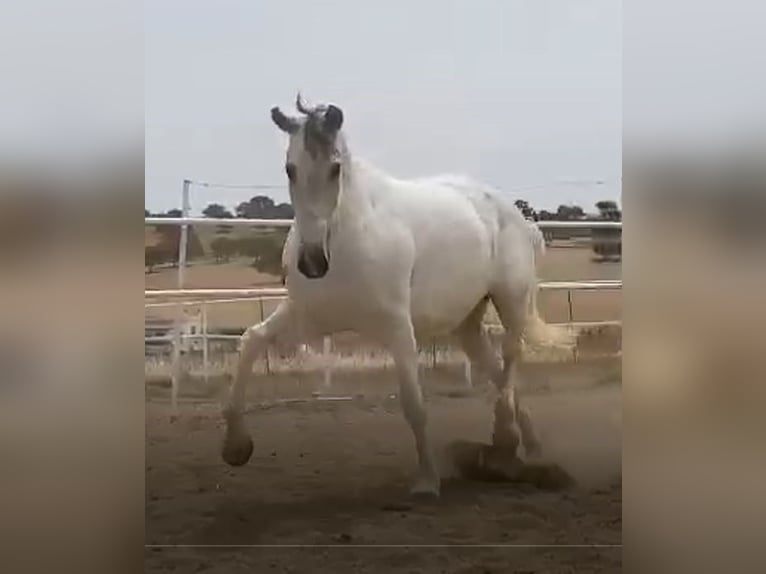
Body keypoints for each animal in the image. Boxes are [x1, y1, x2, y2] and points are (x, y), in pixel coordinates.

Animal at [220, 94, 568, 496]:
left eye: (335, 169)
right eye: (290, 168)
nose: (311, 263)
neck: (347, 243)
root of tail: (514, 214)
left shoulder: (398, 327)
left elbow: (414, 404)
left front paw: (427, 482)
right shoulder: (307, 317)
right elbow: (251, 340)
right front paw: (236, 448)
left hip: (510, 300)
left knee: (510, 360)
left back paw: (507, 443)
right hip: (466, 323)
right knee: (496, 372)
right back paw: (526, 449)